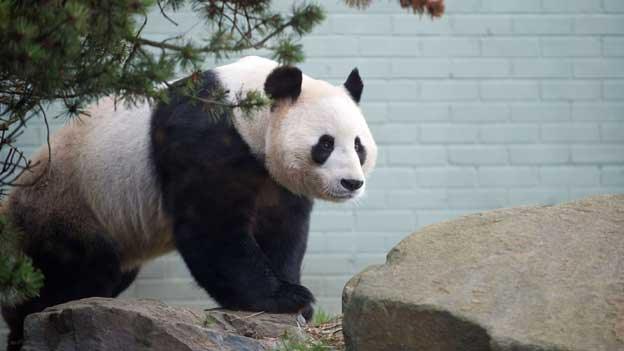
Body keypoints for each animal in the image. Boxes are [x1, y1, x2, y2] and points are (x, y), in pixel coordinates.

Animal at [1, 56, 376, 350]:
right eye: (325, 144)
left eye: (358, 145)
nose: (351, 183)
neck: (246, 114)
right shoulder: (203, 140)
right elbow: (211, 231)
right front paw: (283, 299)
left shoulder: (273, 179)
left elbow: (284, 231)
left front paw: (294, 297)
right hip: (67, 205)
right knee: (71, 272)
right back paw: (29, 323)